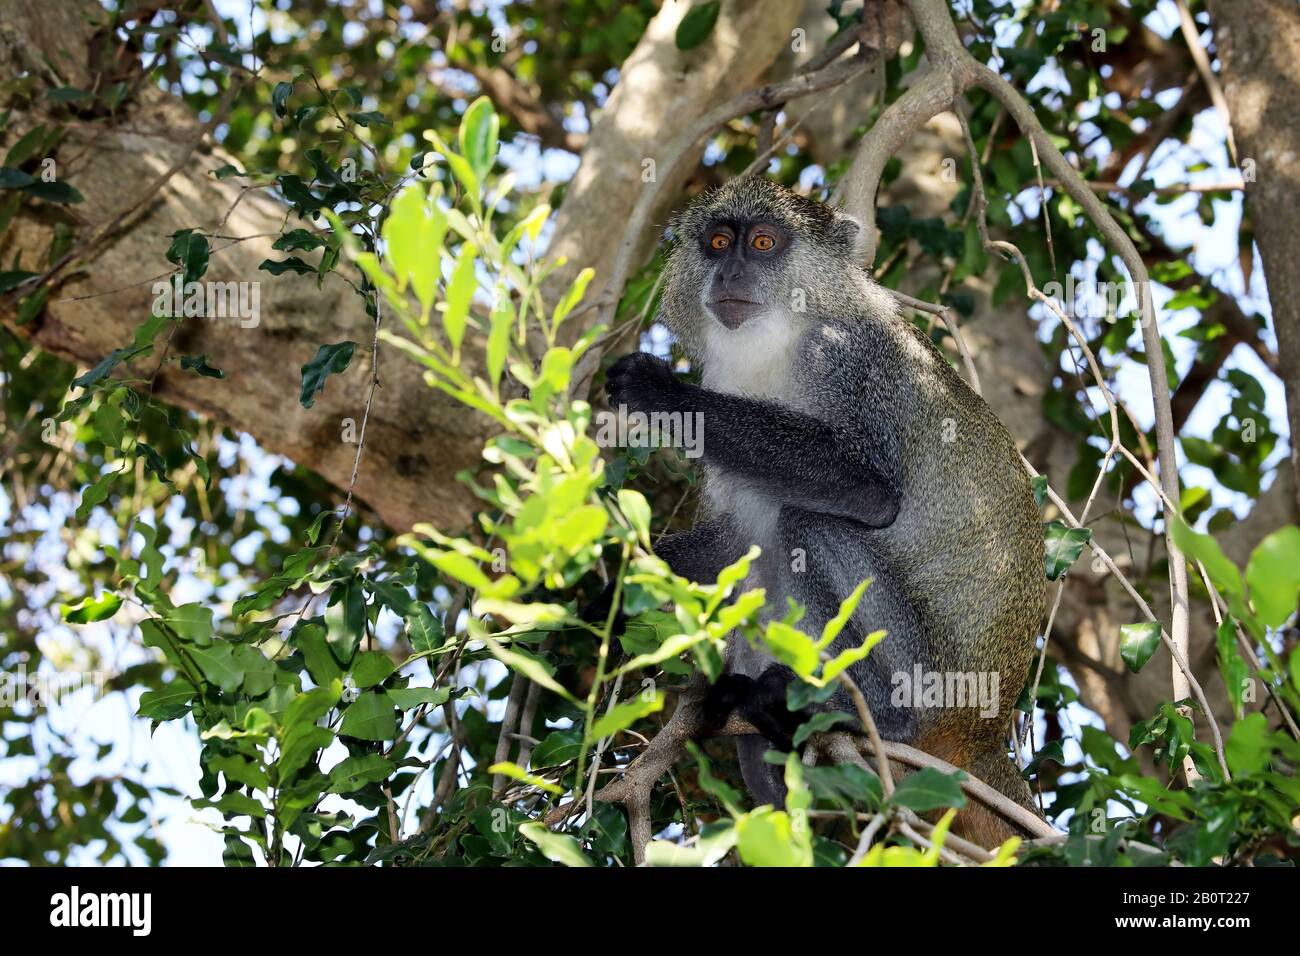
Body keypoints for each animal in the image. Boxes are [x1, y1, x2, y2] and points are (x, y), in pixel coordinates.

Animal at [600, 175, 1045, 842]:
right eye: (718, 241)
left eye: (763, 242)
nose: (729, 273)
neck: (776, 342)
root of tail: (986, 735)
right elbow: (737, 540)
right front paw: (601, 587)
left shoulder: (843, 361)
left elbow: (867, 489)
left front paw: (661, 392)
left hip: (931, 675)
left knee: (809, 522)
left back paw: (878, 718)